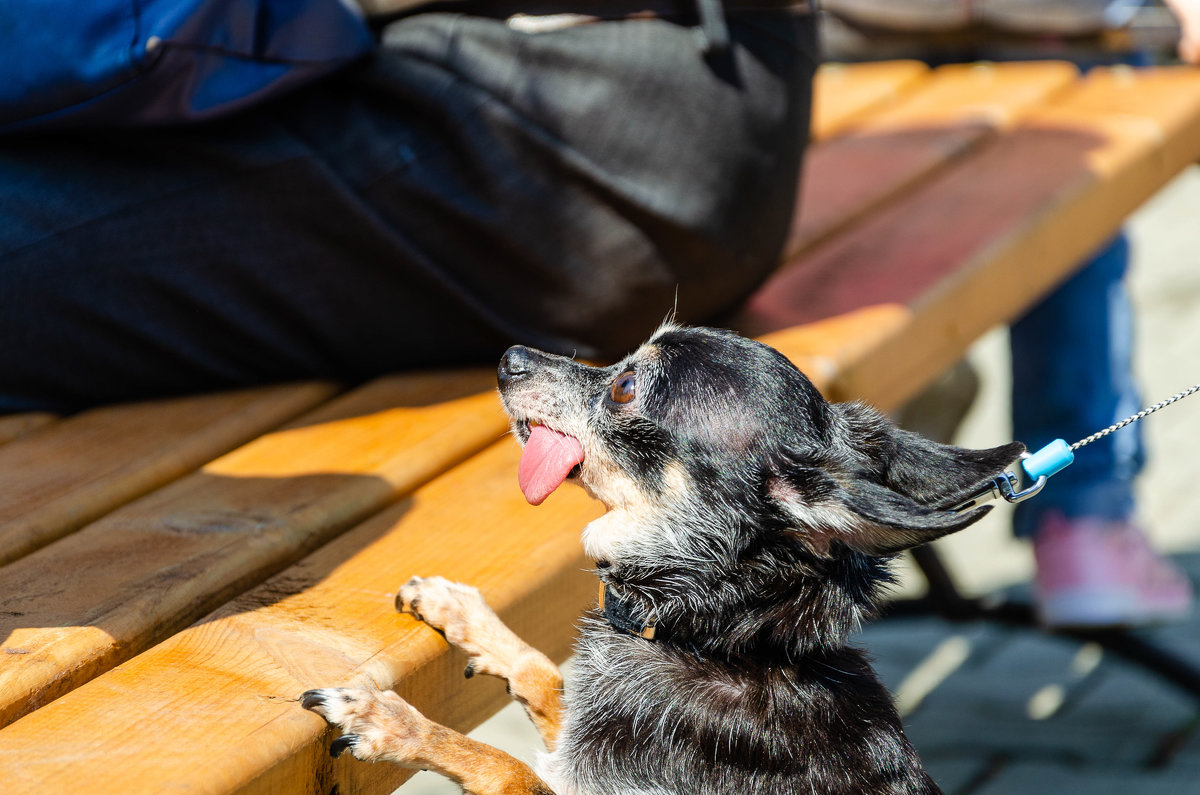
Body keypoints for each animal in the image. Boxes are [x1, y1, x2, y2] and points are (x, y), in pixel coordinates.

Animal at [302, 326, 1022, 795]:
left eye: (624, 386)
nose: (510, 354)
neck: (715, 639)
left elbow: (503, 763)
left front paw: (388, 721)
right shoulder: (577, 745)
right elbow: (548, 679)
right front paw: (470, 617)